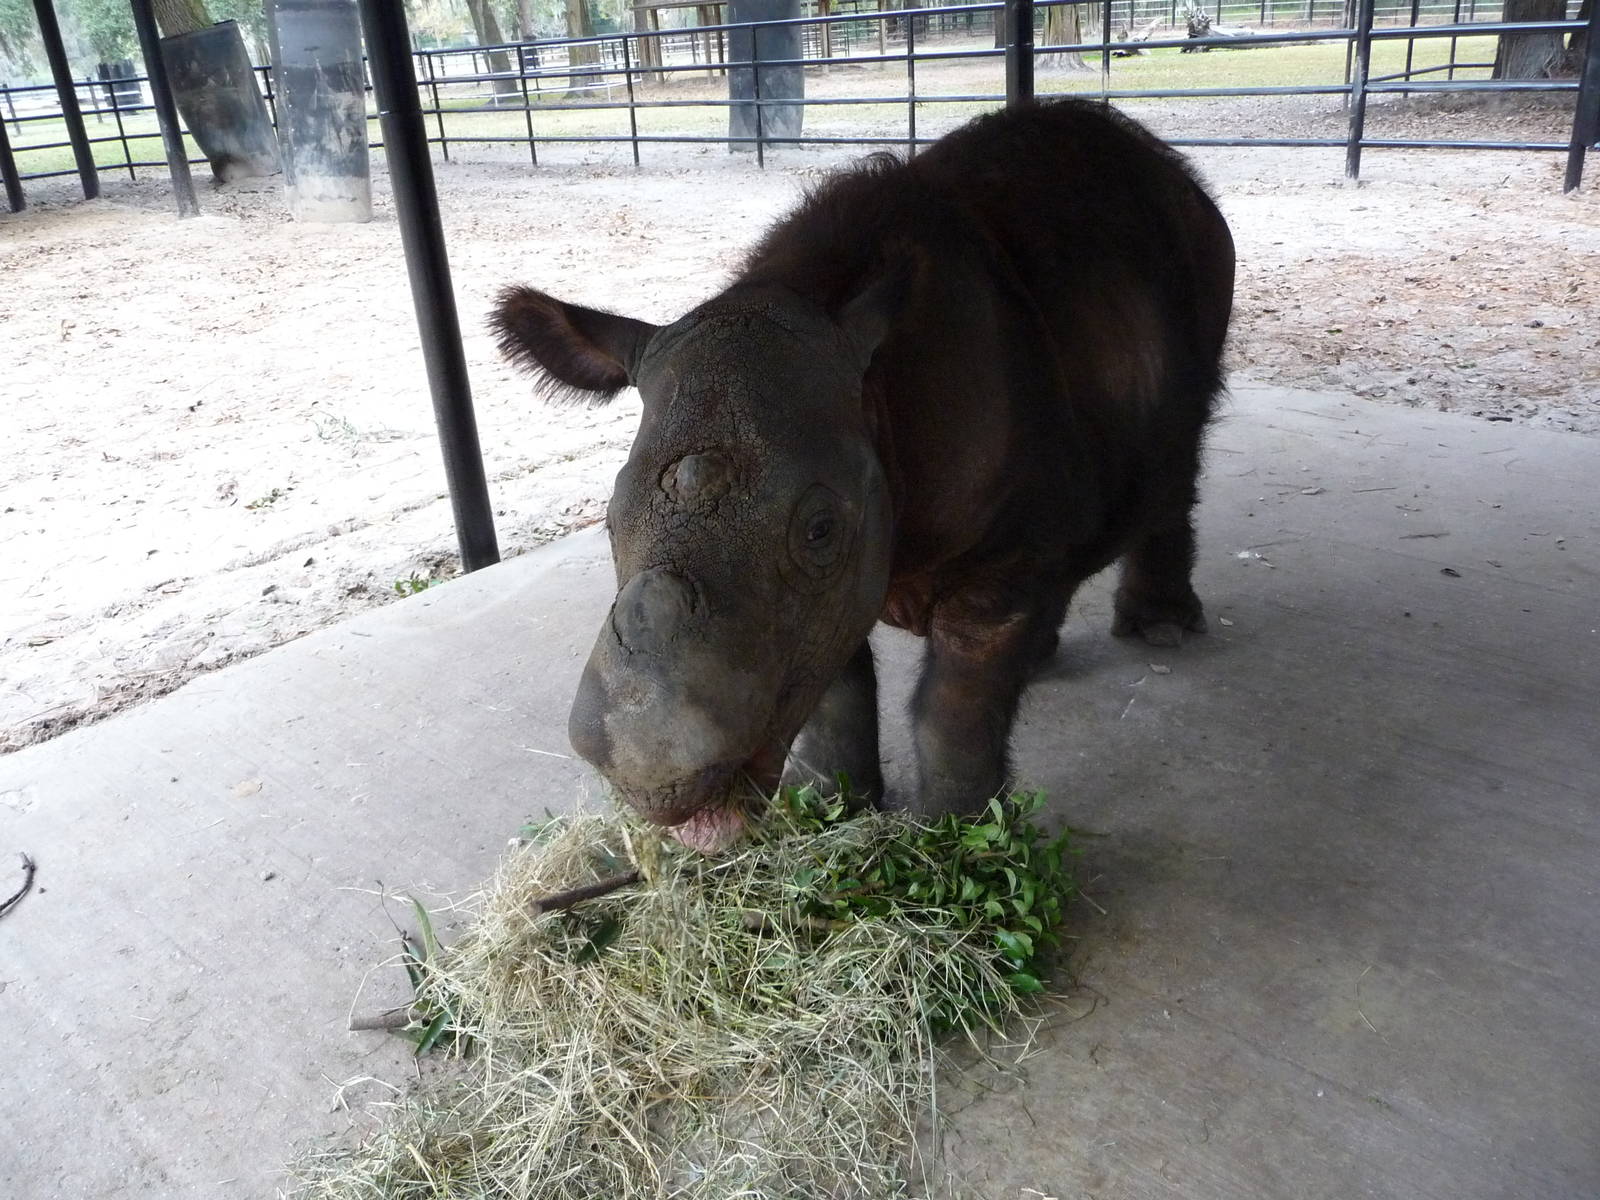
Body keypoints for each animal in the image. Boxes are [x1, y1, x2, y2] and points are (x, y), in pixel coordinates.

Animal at [492, 98, 1235, 853]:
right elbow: (833, 686)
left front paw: (956, 840)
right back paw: (1044, 655)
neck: (875, 399)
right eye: (609, 522)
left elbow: (954, 702)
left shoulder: (1001, 547)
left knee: (1182, 451)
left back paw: (1160, 630)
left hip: (1206, 257)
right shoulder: (822, 588)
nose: (651, 773)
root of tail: (1163, 164)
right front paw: (831, 805)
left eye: (820, 529)